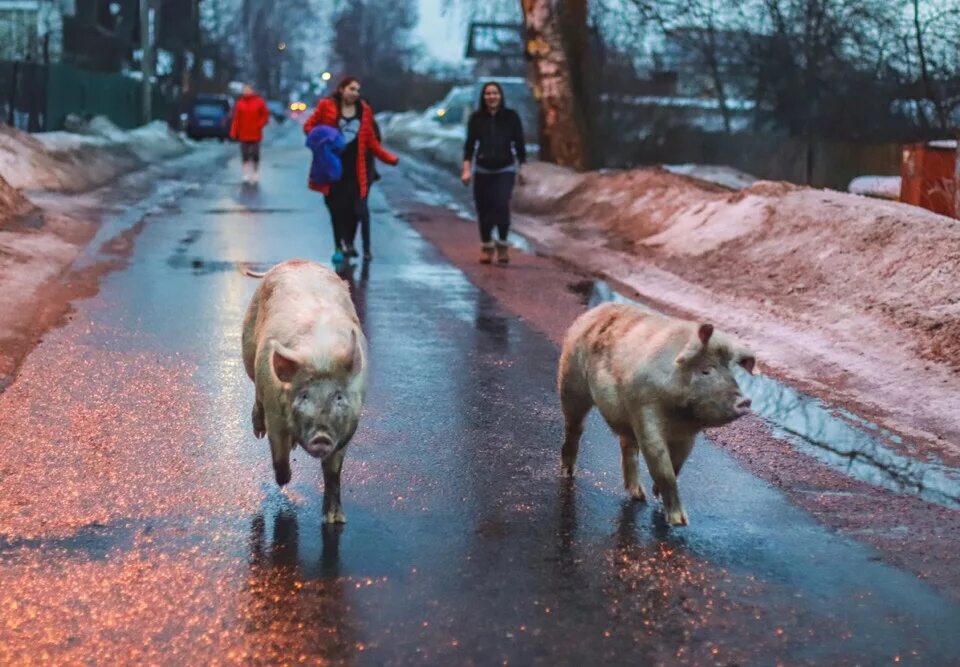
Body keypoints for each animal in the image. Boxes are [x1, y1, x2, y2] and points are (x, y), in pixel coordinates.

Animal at [242, 258, 370, 524]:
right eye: (303, 395)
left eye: (338, 396)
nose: (321, 436)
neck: (320, 355)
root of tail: (294, 261)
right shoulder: (275, 413)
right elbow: (279, 457)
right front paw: (284, 482)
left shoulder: (347, 428)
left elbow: (333, 473)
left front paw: (335, 520)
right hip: (248, 351)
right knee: (255, 391)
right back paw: (259, 432)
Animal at [556, 302, 756, 528]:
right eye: (706, 370)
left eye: (731, 373)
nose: (745, 401)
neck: (679, 415)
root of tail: (593, 312)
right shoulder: (645, 413)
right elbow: (663, 467)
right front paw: (680, 522)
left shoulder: (687, 436)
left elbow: (677, 465)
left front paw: (656, 495)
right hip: (571, 384)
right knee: (575, 428)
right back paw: (568, 474)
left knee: (627, 446)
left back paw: (639, 496)